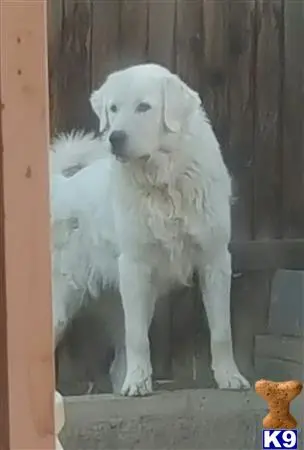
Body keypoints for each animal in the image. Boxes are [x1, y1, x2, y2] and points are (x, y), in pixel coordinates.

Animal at [50, 62, 249, 394]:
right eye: (113, 108)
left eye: (143, 107)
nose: (114, 138)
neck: (163, 182)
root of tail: (60, 186)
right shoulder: (135, 266)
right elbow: (138, 338)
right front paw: (137, 385)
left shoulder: (216, 259)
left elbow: (222, 331)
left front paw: (229, 377)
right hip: (64, 303)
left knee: (118, 360)